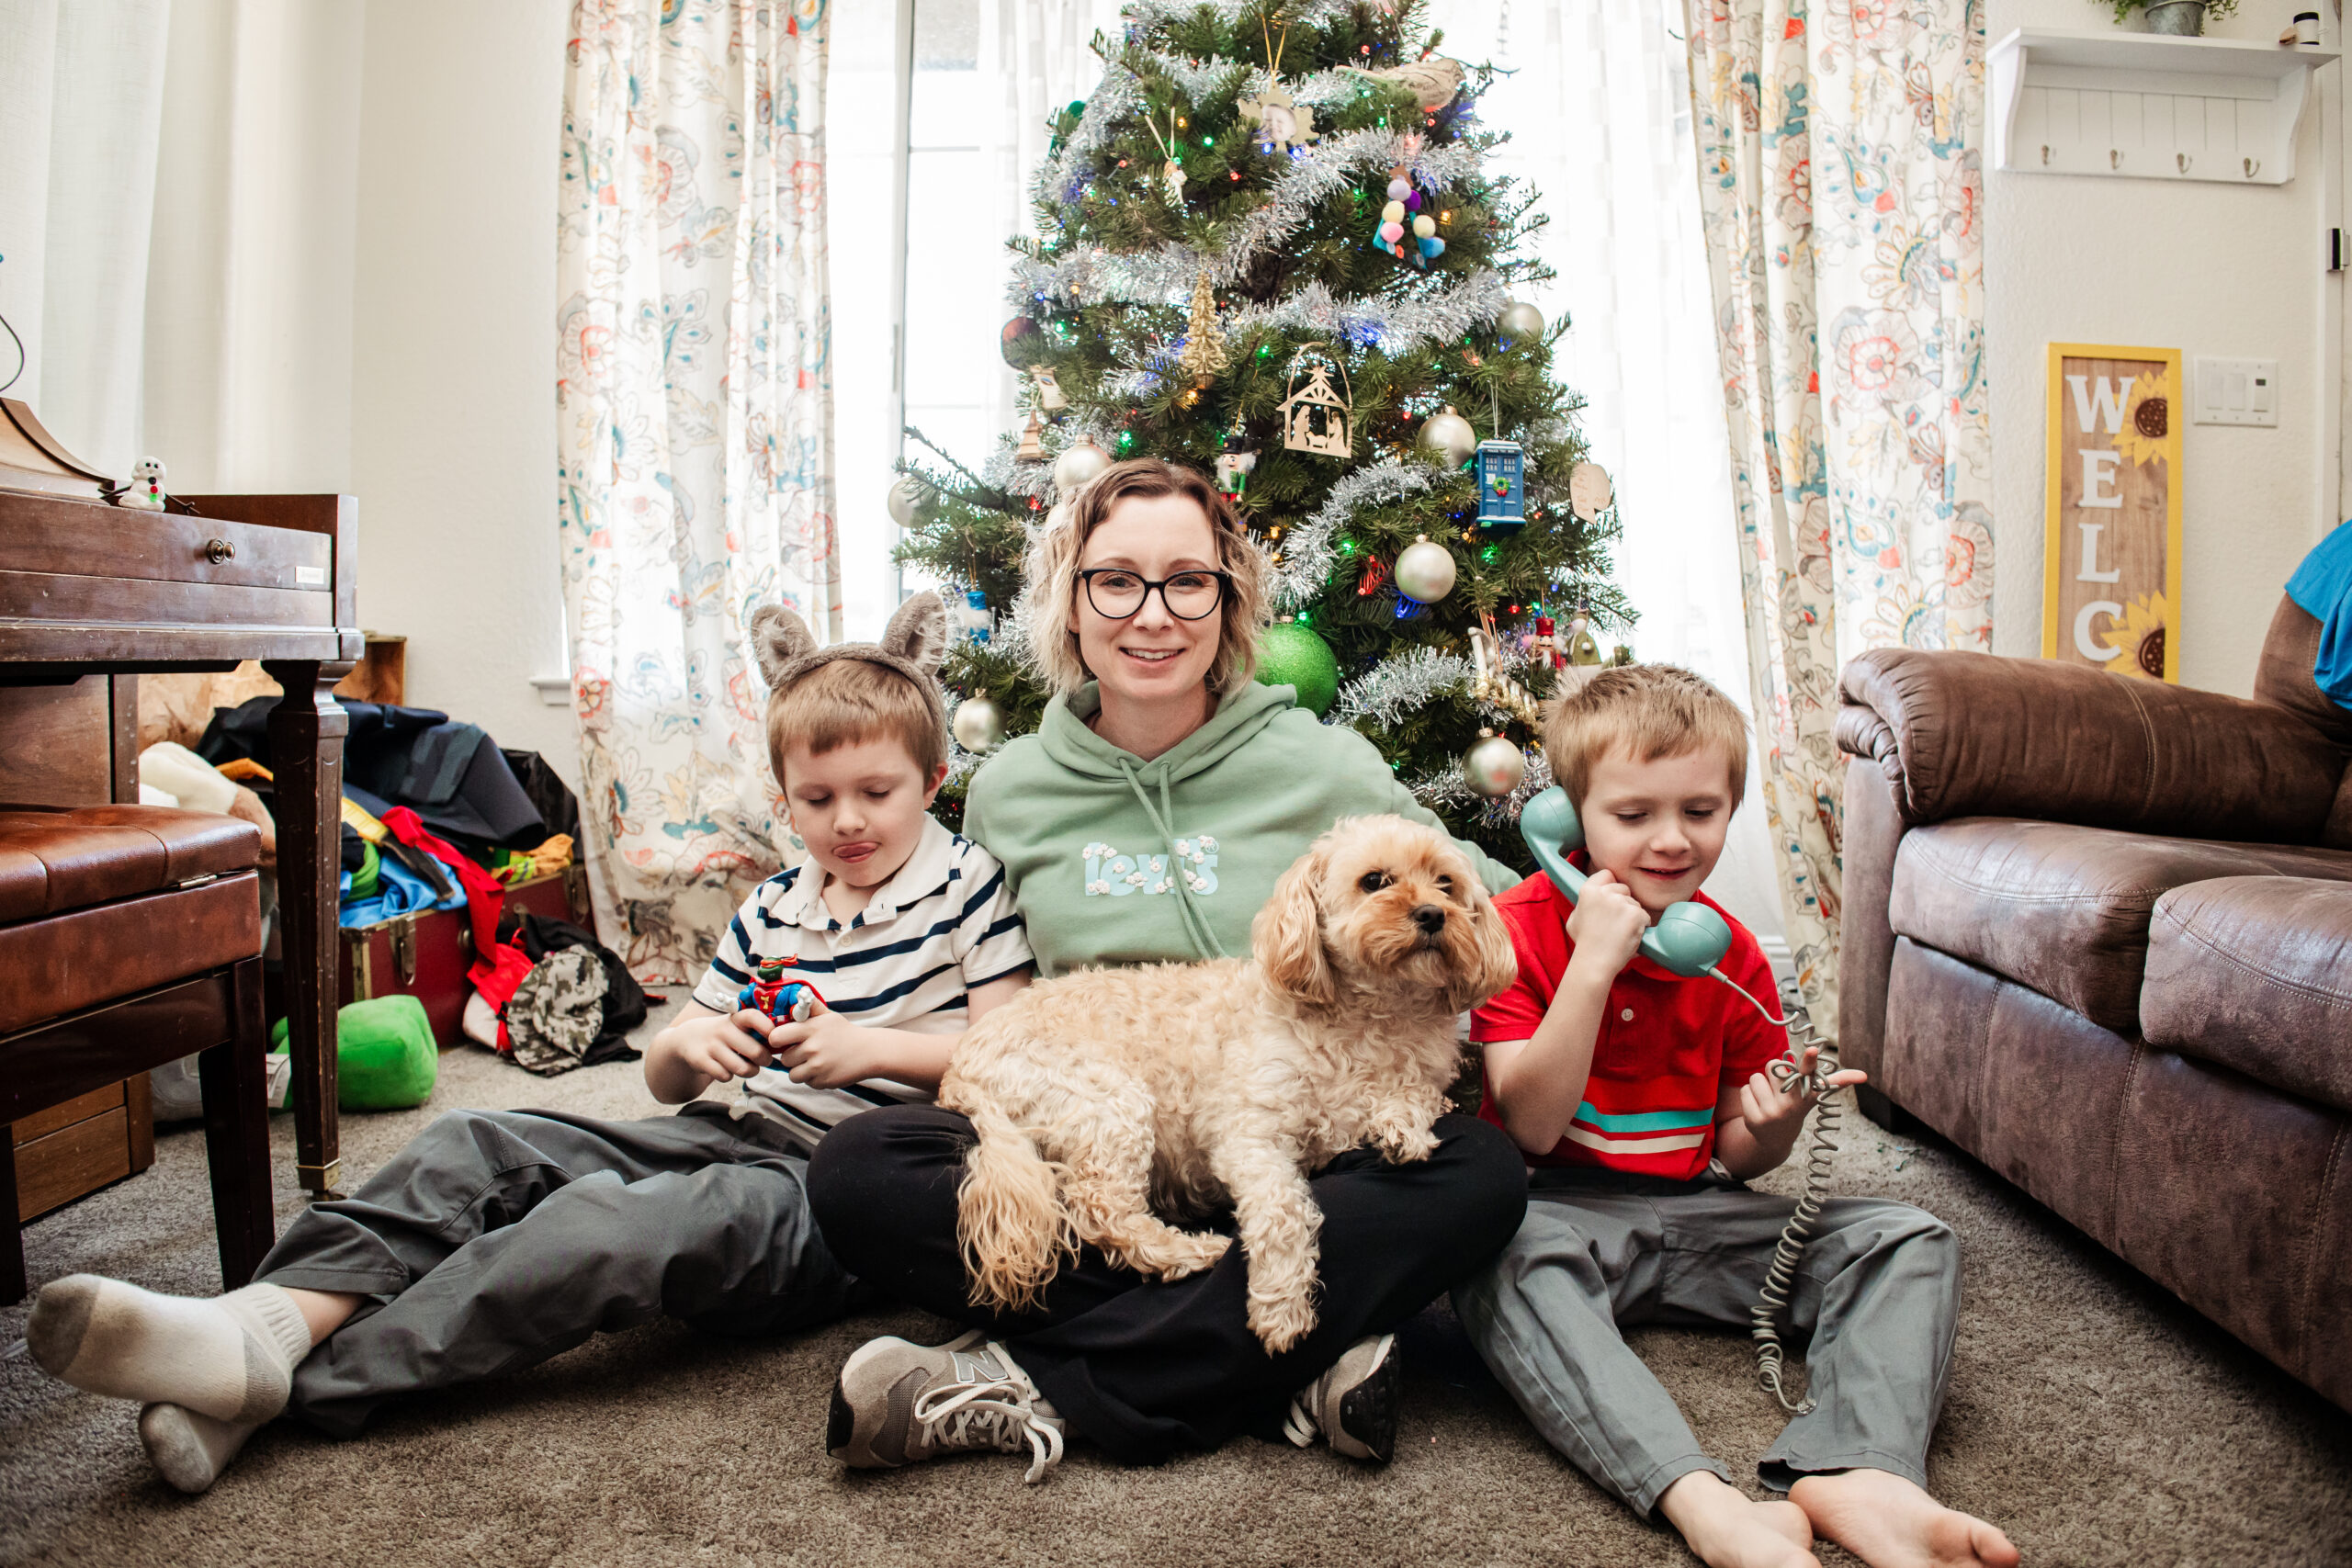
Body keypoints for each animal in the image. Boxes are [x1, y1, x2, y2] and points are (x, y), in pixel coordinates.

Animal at [941, 818, 1523, 1354]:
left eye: (1446, 883)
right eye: (1375, 881)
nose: (1433, 914)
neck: (1370, 1019)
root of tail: (963, 1062)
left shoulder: (1419, 1077)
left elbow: (1414, 1098)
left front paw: (1400, 1128)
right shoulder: (1249, 1133)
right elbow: (1283, 1208)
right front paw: (1282, 1305)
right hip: (1109, 1102)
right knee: (1100, 1210)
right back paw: (1189, 1252)